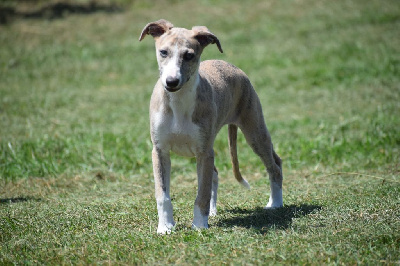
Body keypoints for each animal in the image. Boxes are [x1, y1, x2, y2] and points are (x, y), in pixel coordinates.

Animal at [139, 19, 282, 234]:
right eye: (163, 52)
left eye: (189, 55)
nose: (171, 82)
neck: (179, 102)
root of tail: (232, 67)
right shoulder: (160, 151)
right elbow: (163, 195)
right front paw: (165, 227)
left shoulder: (203, 152)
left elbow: (202, 194)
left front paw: (199, 225)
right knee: (215, 174)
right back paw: (213, 212)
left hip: (254, 132)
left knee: (274, 165)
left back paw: (275, 203)